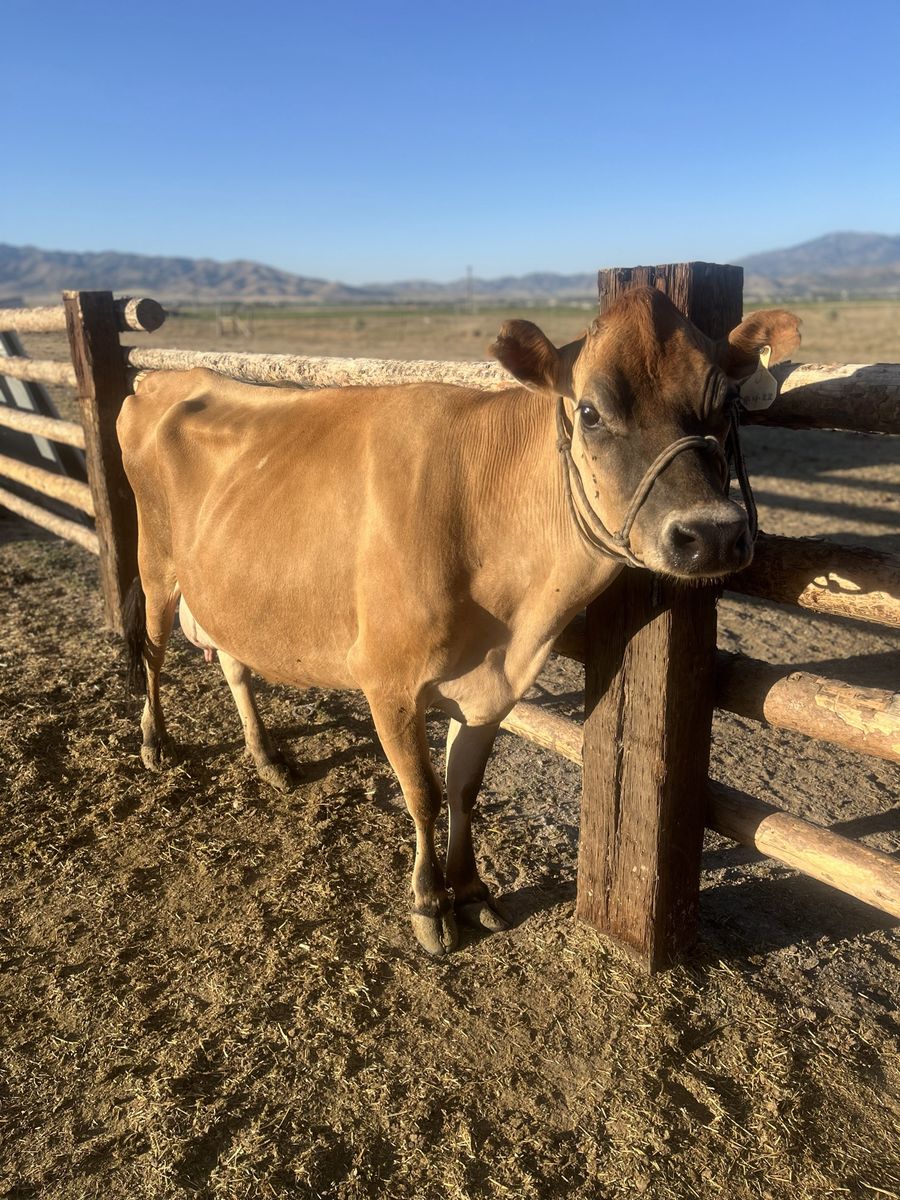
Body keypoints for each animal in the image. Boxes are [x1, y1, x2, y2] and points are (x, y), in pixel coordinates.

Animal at [117, 286, 800, 956]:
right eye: (590, 412)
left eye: (726, 404)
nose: (712, 534)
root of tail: (158, 379)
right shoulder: (387, 681)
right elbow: (423, 792)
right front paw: (429, 904)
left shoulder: (492, 687)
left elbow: (465, 788)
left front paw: (470, 889)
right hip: (155, 562)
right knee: (151, 651)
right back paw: (155, 742)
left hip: (220, 585)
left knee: (234, 662)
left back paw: (266, 757)